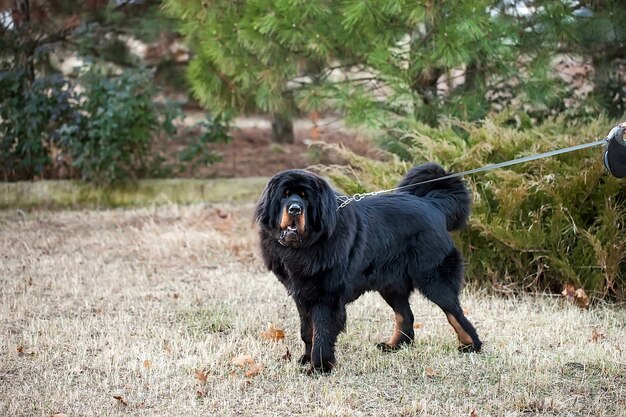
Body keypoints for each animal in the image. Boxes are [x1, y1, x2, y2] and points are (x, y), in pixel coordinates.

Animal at [251, 162, 480, 374]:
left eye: (305, 198)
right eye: (285, 196)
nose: (295, 209)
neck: (305, 246)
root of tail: (432, 204)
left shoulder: (326, 297)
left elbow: (322, 331)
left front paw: (319, 367)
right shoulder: (303, 294)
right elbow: (307, 331)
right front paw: (306, 359)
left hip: (434, 279)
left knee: (455, 313)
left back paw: (471, 345)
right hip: (391, 284)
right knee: (406, 316)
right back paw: (394, 346)